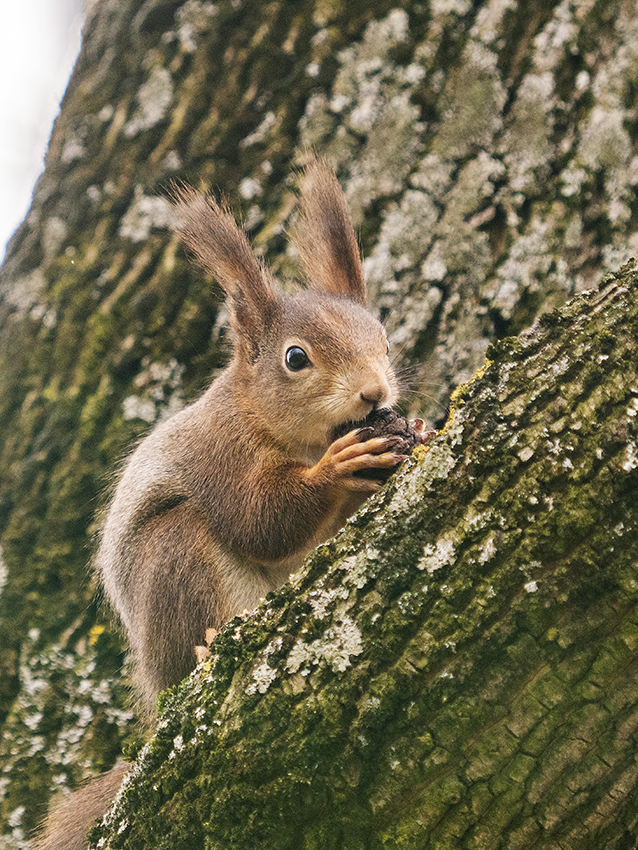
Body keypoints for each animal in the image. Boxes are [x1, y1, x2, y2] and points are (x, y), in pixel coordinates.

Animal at [35, 156, 424, 844]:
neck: (291, 434)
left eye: (383, 340)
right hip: (175, 557)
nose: (375, 393)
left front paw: (415, 431)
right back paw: (207, 646)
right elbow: (259, 521)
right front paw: (337, 470)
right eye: (295, 358)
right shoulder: (221, 456)